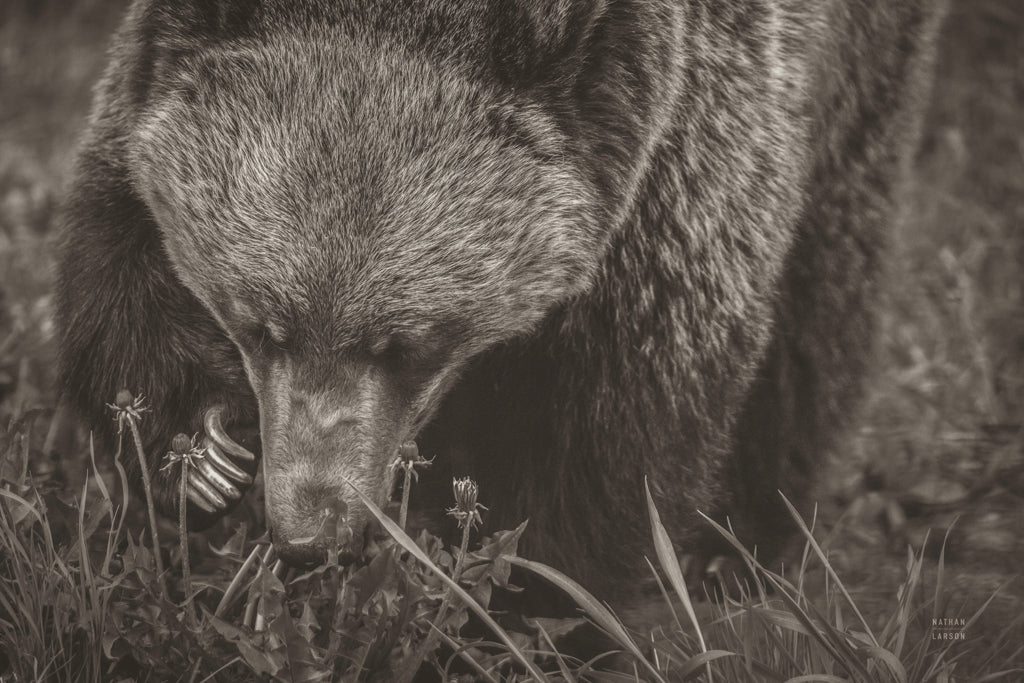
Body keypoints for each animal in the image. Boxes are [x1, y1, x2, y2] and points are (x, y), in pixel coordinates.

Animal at [56, 2, 942, 606]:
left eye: (403, 343)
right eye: (261, 324)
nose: (314, 530)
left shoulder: (683, 150)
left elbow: (610, 425)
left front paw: (534, 600)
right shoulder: (149, 94)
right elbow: (119, 261)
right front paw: (198, 453)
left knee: (821, 305)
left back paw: (744, 546)